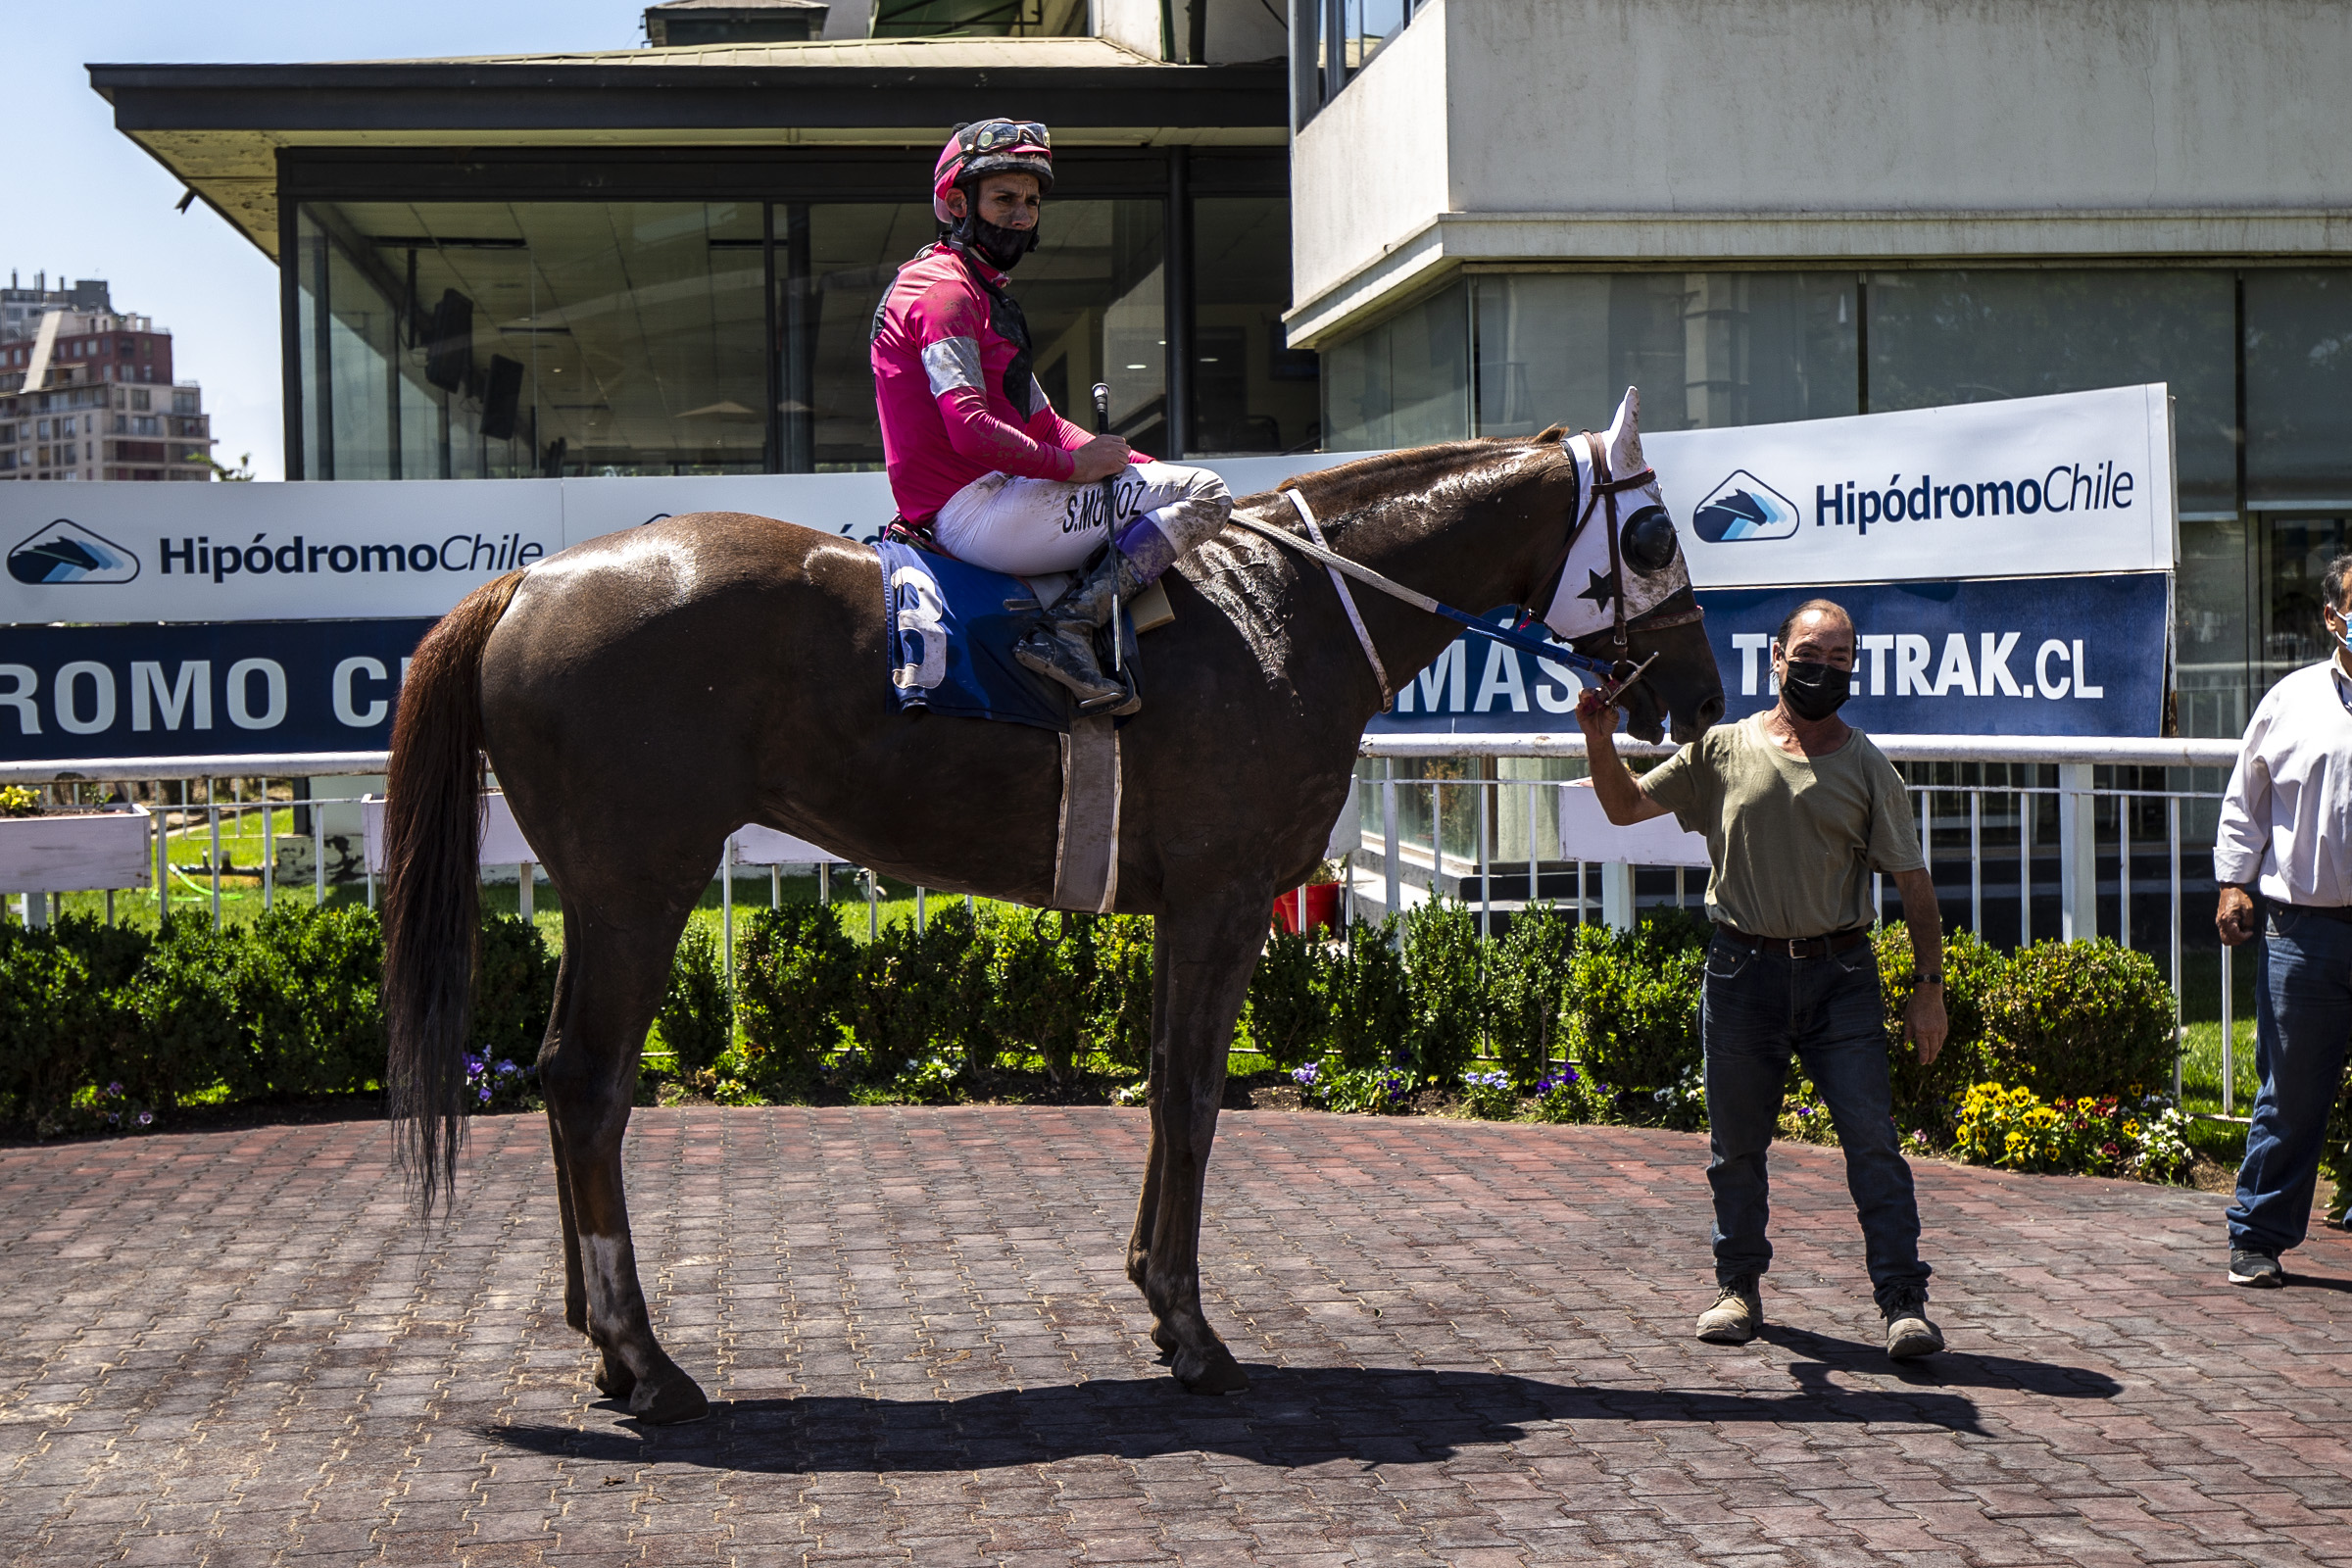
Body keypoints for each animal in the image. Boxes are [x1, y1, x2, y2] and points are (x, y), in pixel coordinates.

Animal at [379, 391, 1726, 1424]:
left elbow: (1164, 1086)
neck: (1282, 608)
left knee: (571, 1077)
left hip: (603, 890)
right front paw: (1192, 1329)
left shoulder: (1185, 905)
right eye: (1654, 529)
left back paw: (605, 1345)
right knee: (588, 1080)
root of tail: (525, 587)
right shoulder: (1224, 897)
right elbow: (1192, 1097)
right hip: (640, 883)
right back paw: (646, 1358)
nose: (1707, 689)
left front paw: (1157, 1300)